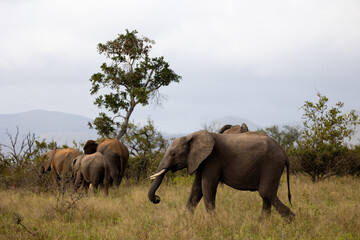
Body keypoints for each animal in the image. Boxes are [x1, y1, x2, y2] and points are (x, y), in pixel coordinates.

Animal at [148, 130, 296, 222]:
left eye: (173, 154)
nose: (157, 198)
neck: (190, 135)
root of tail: (284, 152)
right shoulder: (201, 161)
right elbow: (196, 190)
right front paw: (184, 220)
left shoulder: (212, 159)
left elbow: (207, 187)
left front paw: (212, 224)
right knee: (266, 196)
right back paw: (262, 225)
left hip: (271, 164)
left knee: (266, 192)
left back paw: (291, 221)